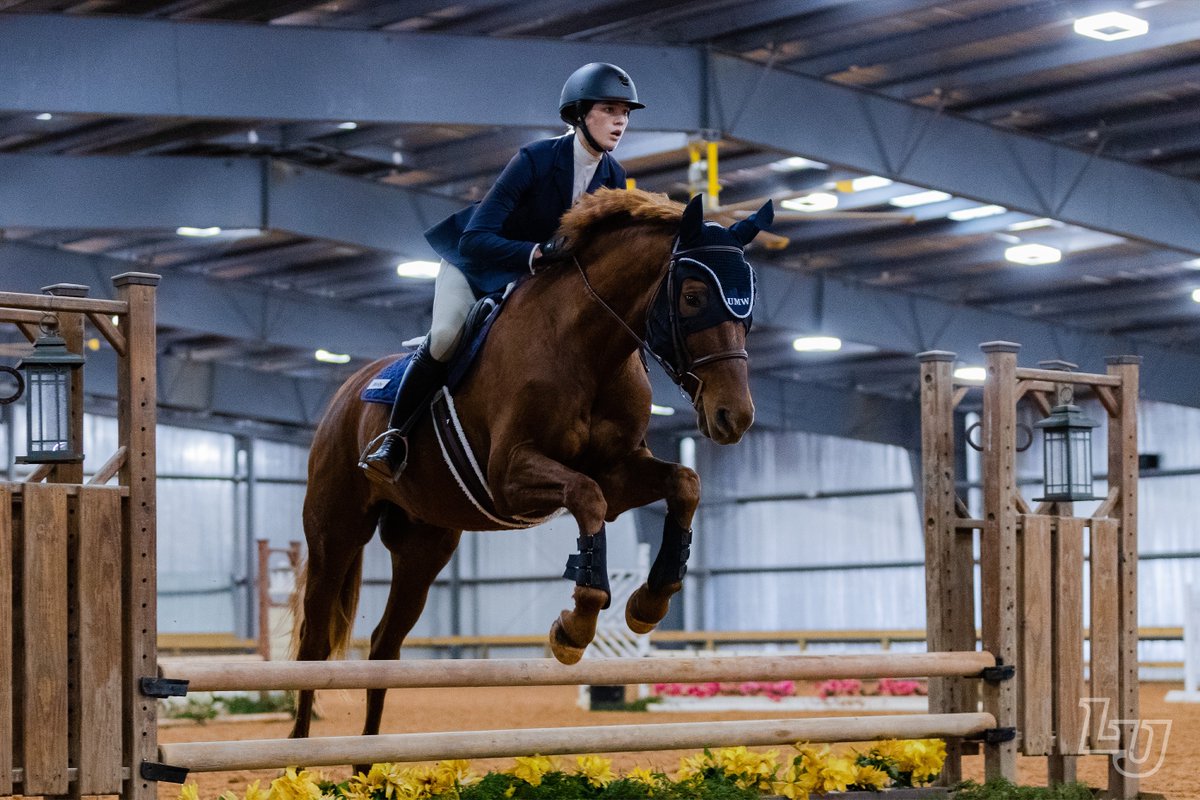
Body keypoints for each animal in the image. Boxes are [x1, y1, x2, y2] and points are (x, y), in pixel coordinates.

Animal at [295, 185, 772, 743]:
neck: (587, 346)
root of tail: (347, 391)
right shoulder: (509, 475)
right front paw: (575, 627)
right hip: (335, 532)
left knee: (384, 646)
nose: (735, 416)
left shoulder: (619, 472)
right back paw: (298, 753)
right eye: (693, 297)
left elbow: (683, 483)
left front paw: (648, 602)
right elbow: (587, 496)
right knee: (312, 644)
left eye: (749, 301)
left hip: (423, 547)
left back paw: (366, 759)